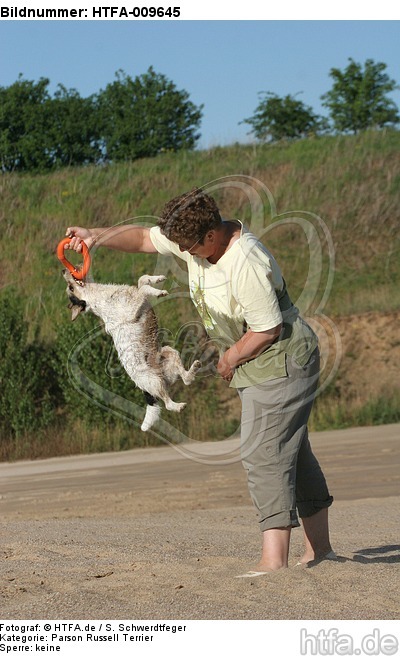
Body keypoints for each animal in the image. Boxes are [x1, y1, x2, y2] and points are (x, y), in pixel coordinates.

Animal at [64, 270, 202, 430]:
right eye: (70, 288)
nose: (63, 271)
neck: (98, 296)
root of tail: (145, 390)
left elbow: (141, 280)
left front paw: (157, 280)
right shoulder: (133, 307)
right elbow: (142, 288)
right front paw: (159, 292)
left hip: (170, 353)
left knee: (186, 380)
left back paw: (194, 368)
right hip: (154, 381)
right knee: (167, 403)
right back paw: (178, 406)